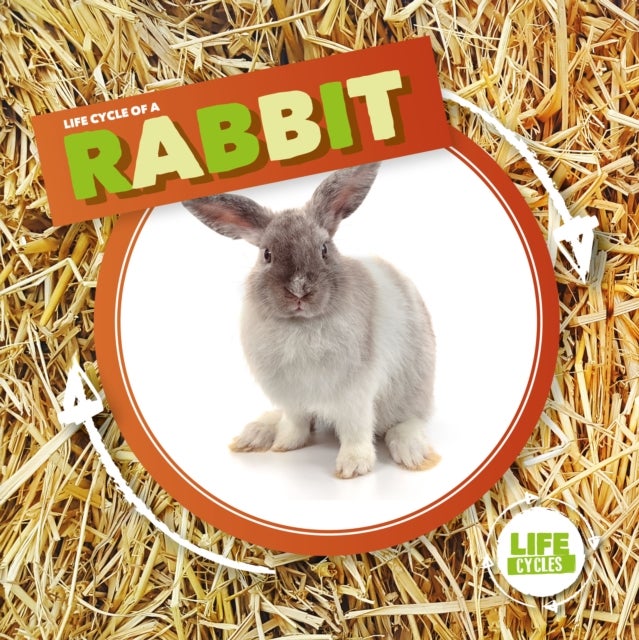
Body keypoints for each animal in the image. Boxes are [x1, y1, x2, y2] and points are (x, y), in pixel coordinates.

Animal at [182, 163, 438, 478]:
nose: (299, 290)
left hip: (412, 393)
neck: (301, 325)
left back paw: (413, 454)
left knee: (408, 421)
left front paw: (352, 467)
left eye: (324, 249)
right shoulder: (293, 396)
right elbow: (296, 422)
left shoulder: (355, 396)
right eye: (267, 254)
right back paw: (255, 434)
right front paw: (285, 444)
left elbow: (355, 430)